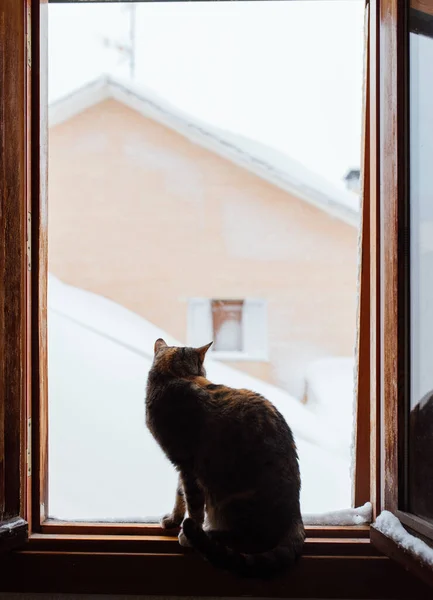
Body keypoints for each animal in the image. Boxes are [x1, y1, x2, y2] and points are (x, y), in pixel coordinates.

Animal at [145, 338, 304, 576]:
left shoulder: (187, 466)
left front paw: (187, 530)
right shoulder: (182, 466)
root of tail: (296, 514)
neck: (171, 376)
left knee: (243, 536)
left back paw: (203, 535)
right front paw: (173, 520)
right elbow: (179, 496)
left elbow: (192, 505)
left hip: (230, 500)